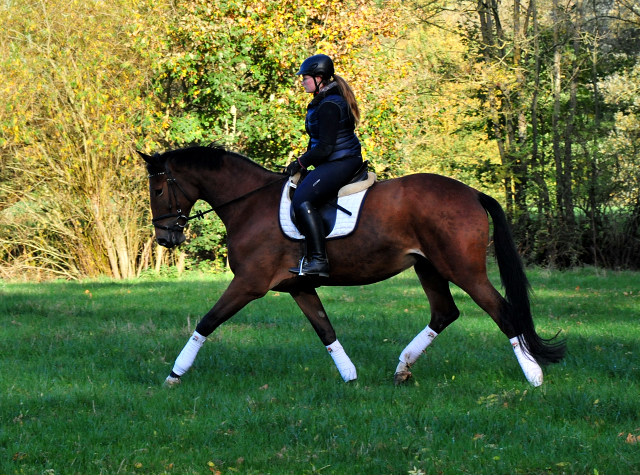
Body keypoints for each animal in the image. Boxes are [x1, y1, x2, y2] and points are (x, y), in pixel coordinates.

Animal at [139, 146, 564, 390]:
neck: (249, 204)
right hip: (428, 268)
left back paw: (534, 377)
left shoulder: (248, 283)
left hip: (465, 270)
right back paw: (402, 368)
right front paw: (350, 376)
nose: (165, 238)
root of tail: (472, 193)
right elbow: (325, 330)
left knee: (503, 312)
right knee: (444, 313)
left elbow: (207, 322)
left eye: (158, 189)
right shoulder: (298, 286)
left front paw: (174, 374)